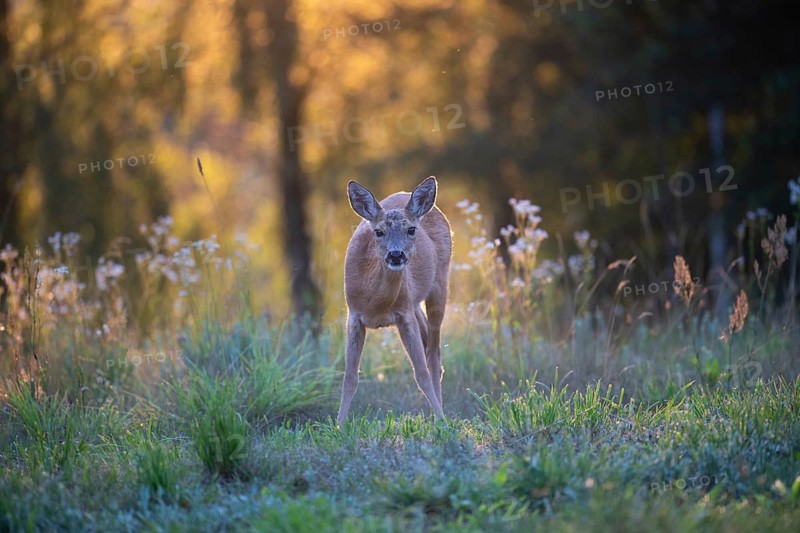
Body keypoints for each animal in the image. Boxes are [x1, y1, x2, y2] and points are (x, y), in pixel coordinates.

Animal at [336, 176, 452, 427]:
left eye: (411, 229)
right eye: (378, 232)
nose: (396, 255)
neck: (375, 302)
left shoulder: (403, 315)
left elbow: (421, 373)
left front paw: (442, 421)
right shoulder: (354, 315)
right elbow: (350, 376)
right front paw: (339, 425)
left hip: (439, 283)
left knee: (434, 352)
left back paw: (440, 415)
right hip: (414, 301)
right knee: (428, 340)